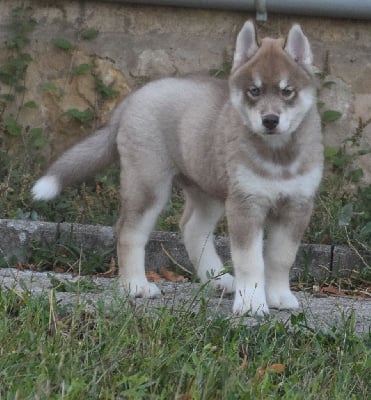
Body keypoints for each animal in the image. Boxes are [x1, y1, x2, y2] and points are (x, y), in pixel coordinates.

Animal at [32, 21, 322, 316]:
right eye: (254, 91)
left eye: (287, 91)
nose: (270, 120)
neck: (278, 154)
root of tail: (133, 98)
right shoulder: (245, 203)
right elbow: (251, 260)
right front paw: (252, 303)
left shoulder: (297, 205)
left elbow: (281, 257)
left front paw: (279, 296)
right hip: (148, 185)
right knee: (128, 232)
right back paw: (136, 286)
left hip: (208, 189)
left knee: (192, 228)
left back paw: (217, 280)